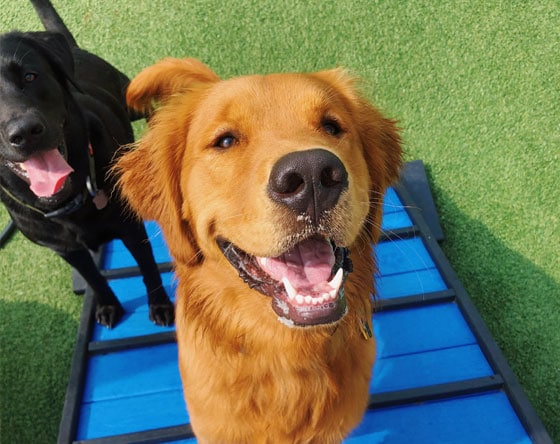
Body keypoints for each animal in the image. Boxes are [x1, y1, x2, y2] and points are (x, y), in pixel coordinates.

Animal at [0, 0, 174, 326]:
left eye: (30, 76)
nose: (25, 131)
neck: (71, 201)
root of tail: (70, 48)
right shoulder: (68, 251)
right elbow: (94, 278)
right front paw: (107, 305)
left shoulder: (131, 228)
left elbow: (148, 269)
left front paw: (160, 305)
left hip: (128, 98)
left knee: (149, 107)